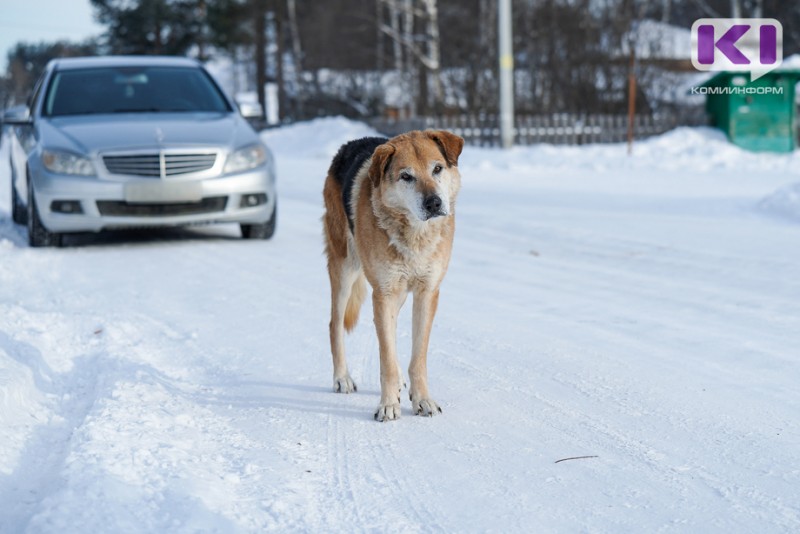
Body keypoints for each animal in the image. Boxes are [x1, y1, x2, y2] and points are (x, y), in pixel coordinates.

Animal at [324, 131, 466, 422]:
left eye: (437, 169)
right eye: (406, 176)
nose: (434, 203)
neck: (415, 236)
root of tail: (346, 146)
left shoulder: (426, 292)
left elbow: (417, 357)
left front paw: (422, 400)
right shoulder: (384, 292)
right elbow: (387, 359)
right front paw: (388, 405)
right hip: (345, 269)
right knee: (335, 325)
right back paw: (342, 378)